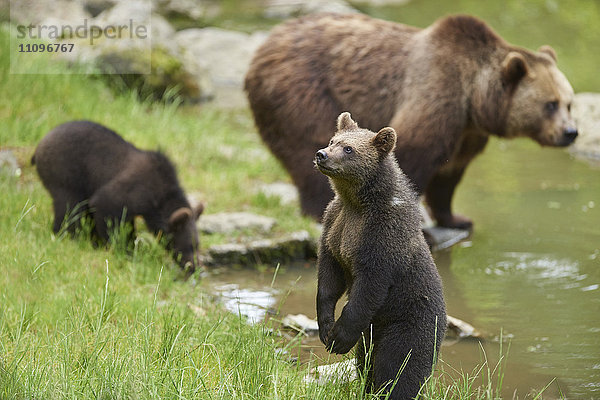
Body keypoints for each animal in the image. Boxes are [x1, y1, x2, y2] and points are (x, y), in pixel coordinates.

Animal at [246, 14, 580, 230]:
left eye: (569, 102)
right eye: (550, 104)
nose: (570, 132)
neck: (474, 97)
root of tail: (265, 44)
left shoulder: (466, 133)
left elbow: (449, 174)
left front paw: (457, 219)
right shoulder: (436, 93)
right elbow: (413, 152)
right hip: (302, 92)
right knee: (308, 151)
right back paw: (319, 210)